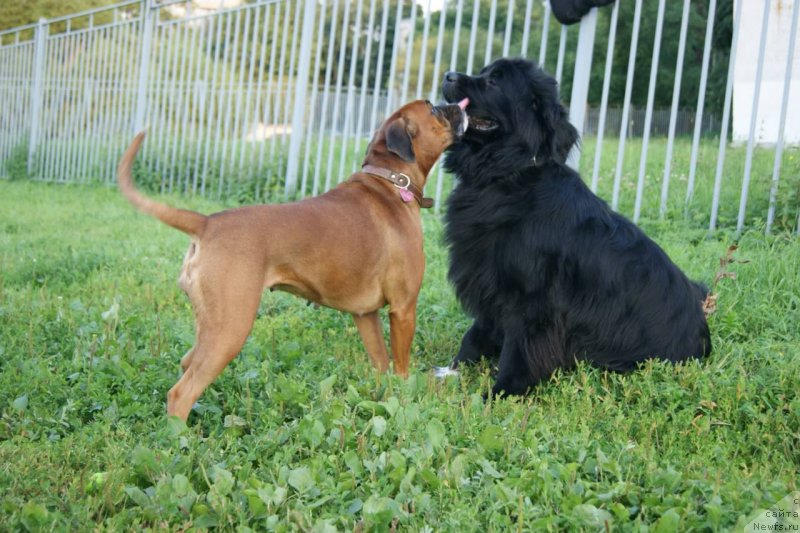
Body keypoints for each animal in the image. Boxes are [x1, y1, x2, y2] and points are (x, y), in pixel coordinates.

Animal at [119, 97, 468, 418]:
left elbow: (381, 365)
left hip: (210, 327)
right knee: (181, 392)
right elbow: (402, 368)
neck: (391, 181)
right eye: (433, 108)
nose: (456, 103)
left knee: (187, 364)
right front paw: (406, 401)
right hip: (230, 329)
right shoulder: (403, 309)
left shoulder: (365, 315)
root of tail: (206, 223)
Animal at [440, 58, 708, 396]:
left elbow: (518, 349)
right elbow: (476, 334)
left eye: (494, 81)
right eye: (484, 71)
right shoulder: (488, 278)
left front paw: (501, 392)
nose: (448, 75)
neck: (508, 174)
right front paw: (453, 370)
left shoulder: (531, 297)